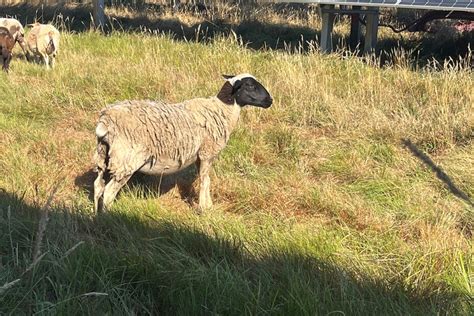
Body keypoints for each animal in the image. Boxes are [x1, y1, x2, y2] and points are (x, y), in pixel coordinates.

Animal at [93, 74, 274, 212]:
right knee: (108, 192)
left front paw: (207, 205)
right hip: (126, 160)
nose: (270, 100)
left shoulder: (200, 155)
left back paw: (96, 216)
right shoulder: (207, 152)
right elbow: (205, 180)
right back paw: (109, 217)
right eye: (250, 85)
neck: (222, 109)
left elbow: (205, 179)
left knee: (98, 186)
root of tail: (105, 121)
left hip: (104, 156)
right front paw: (205, 208)